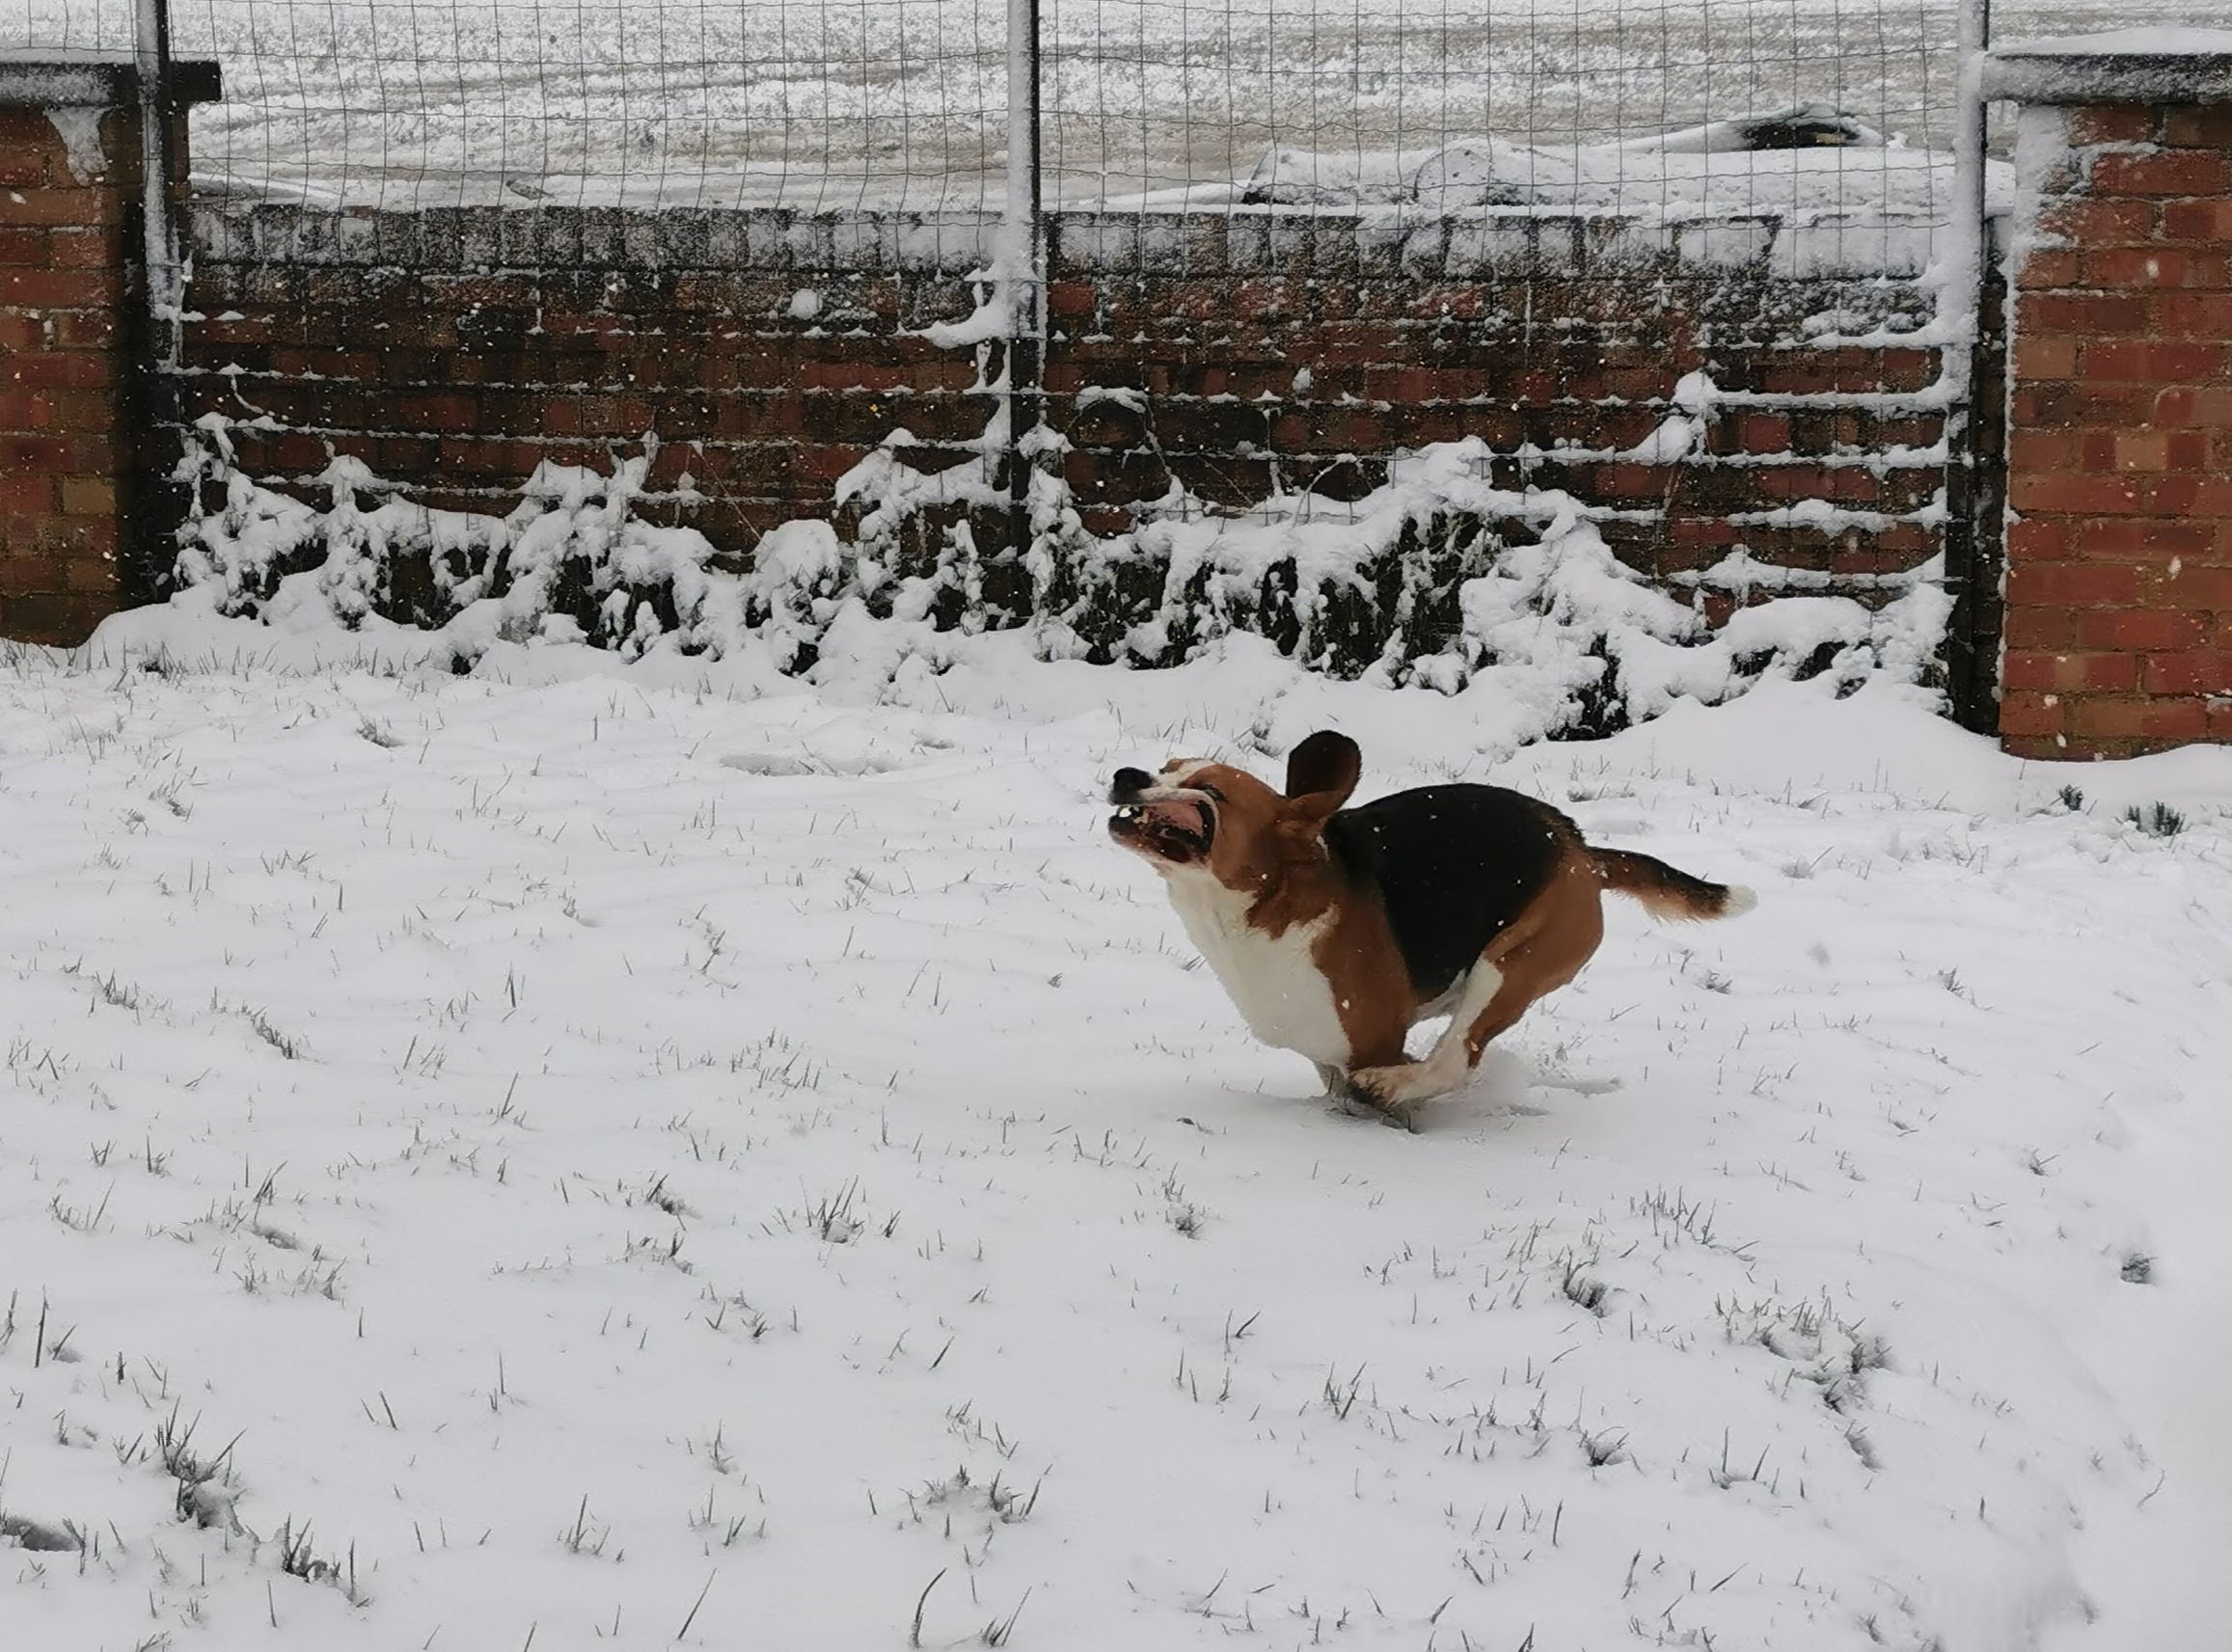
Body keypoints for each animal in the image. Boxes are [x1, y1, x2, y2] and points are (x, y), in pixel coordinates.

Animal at [1108, 731, 1753, 1121]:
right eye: (1166, 768)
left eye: (1209, 790)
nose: (1128, 775)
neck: (1258, 908)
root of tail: (1581, 850)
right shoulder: (1323, 1051)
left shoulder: (1372, 1040)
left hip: (1508, 968)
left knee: (1457, 1058)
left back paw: (1400, 1082)